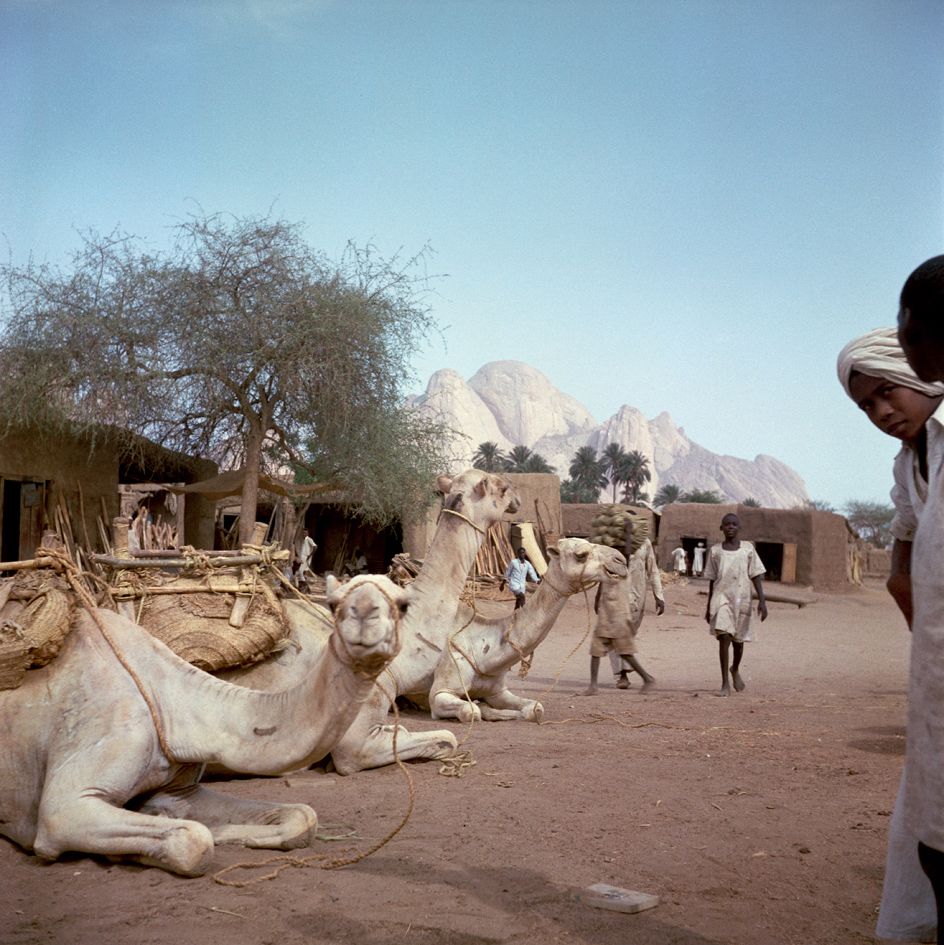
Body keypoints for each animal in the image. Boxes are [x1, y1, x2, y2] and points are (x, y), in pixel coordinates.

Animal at [0, 573, 407, 876]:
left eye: (403, 604)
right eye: (334, 604)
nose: (364, 611)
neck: (168, 703)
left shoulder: (183, 789)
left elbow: (303, 815)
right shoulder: (65, 806)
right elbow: (195, 841)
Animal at [429, 538, 628, 723]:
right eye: (581, 555)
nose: (621, 560)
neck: (483, 651)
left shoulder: (497, 692)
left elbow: (535, 708)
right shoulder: (441, 691)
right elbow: (470, 711)